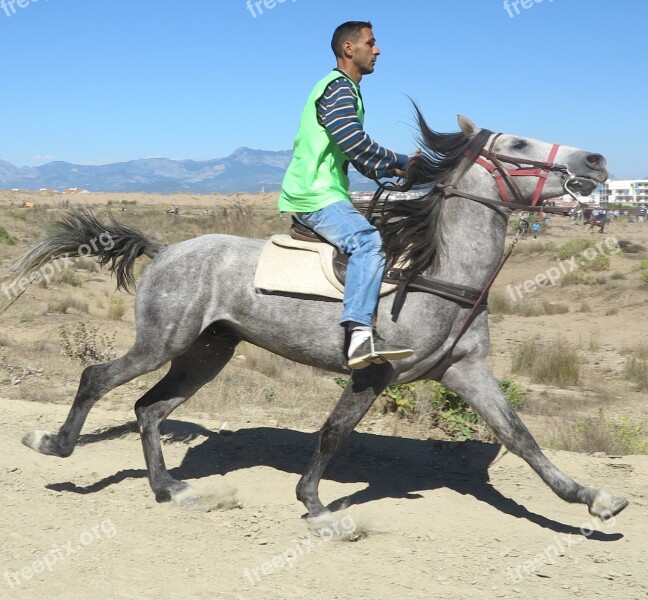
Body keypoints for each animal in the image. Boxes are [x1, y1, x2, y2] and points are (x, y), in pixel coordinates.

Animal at [11, 112, 628, 528]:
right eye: (518, 143)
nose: (597, 160)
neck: (437, 272)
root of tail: (164, 249)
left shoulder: (466, 371)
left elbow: (521, 436)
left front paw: (593, 498)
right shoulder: (373, 372)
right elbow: (333, 432)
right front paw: (315, 506)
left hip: (206, 354)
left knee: (148, 409)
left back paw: (172, 489)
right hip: (161, 342)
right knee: (97, 379)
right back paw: (53, 445)